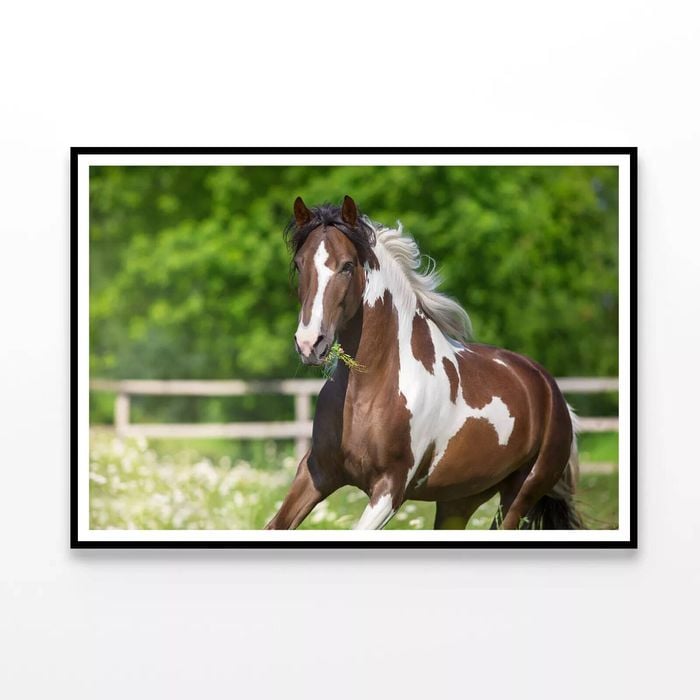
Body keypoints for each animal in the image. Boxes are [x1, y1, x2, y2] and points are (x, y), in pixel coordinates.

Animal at [266, 196, 582, 531]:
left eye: (347, 266)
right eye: (299, 264)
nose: (310, 343)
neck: (370, 390)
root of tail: (552, 393)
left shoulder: (390, 489)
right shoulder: (318, 472)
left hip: (520, 496)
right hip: (458, 500)